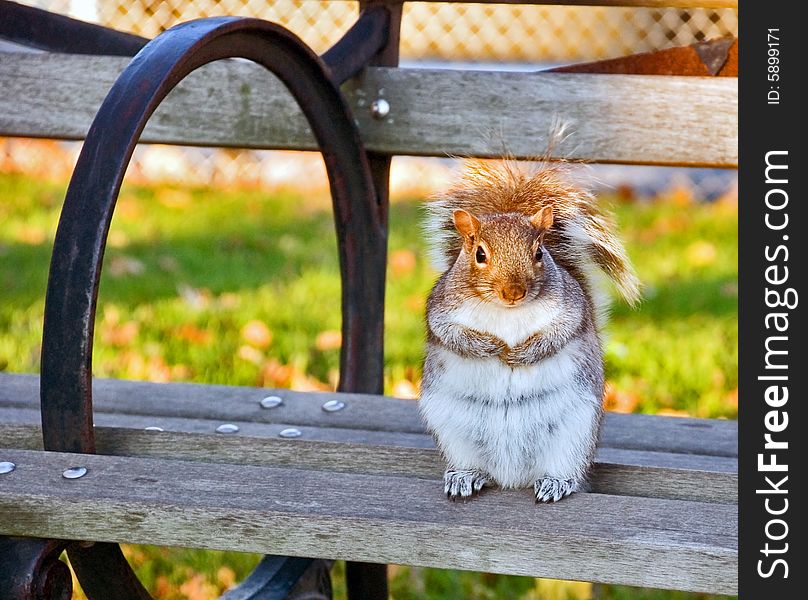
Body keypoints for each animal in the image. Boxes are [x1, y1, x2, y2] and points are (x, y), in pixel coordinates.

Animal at [416, 159, 636, 502]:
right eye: (479, 254)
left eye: (539, 253)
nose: (514, 292)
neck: (506, 312)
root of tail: (511, 478)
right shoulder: (440, 309)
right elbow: (451, 335)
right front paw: (490, 347)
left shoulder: (571, 308)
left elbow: (560, 333)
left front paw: (521, 354)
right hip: (453, 430)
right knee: (475, 465)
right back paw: (466, 476)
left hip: (574, 433)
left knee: (566, 467)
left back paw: (556, 482)